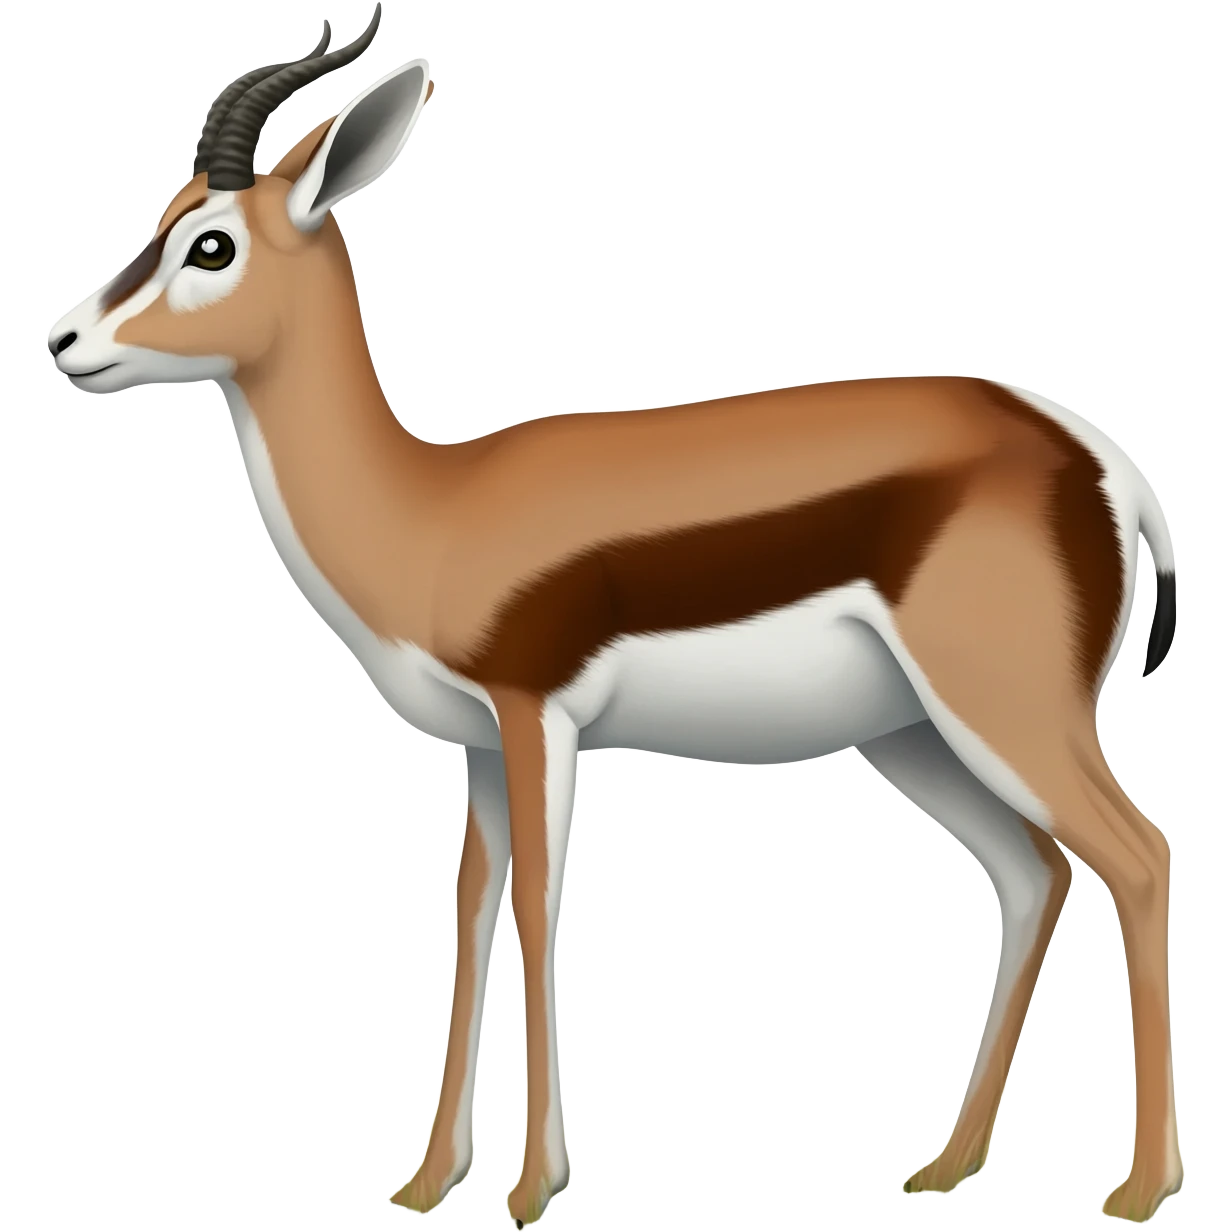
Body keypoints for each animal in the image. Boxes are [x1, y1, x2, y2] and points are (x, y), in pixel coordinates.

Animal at [45, 8, 1183, 1226]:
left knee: (1137, 856)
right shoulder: (479, 743)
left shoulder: (537, 716)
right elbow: (472, 905)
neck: (431, 510)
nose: (63, 341)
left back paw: (1137, 1186)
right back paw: (944, 1164)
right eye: (163, 218)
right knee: (1033, 872)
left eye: (210, 245)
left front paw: (533, 1187)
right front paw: (429, 1181)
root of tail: (1092, 456)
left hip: (1004, 711)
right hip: (913, 733)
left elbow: (540, 900)